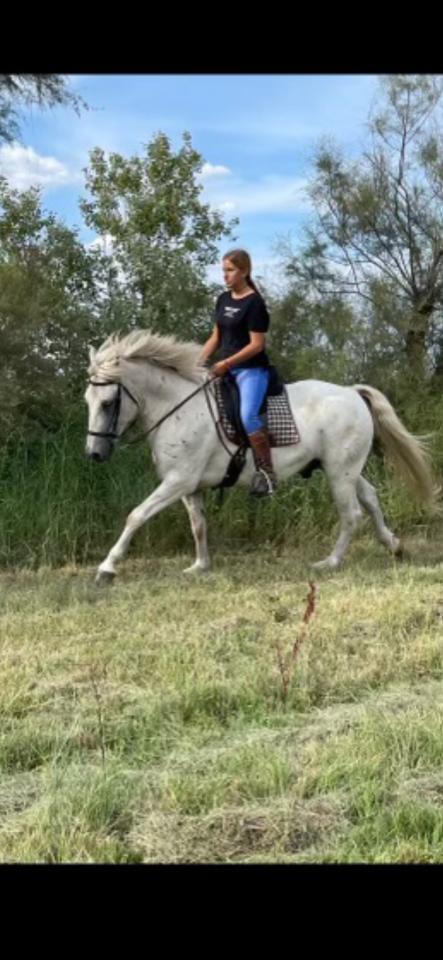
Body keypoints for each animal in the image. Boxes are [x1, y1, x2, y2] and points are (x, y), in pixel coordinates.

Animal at [84, 329, 440, 582]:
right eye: (88, 400)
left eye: (108, 403)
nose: (94, 454)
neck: (178, 408)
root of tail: (351, 393)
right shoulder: (189, 487)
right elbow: (198, 524)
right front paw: (200, 565)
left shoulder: (177, 482)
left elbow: (136, 515)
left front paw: (107, 567)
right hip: (346, 469)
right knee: (371, 498)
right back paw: (394, 546)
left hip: (340, 472)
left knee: (351, 513)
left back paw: (330, 562)